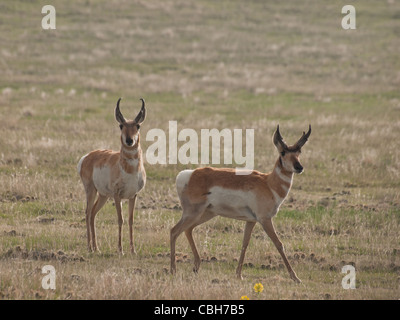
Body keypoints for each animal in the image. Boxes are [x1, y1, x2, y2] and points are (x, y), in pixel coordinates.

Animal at [77, 99, 146, 254]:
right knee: (87, 212)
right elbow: (120, 219)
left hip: (103, 195)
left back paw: (96, 248)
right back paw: (89, 247)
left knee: (93, 213)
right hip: (91, 191)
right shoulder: (117, 195)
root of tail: (87, 156)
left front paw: (133, 250)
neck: (130, 170)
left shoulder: (133, 196)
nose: (129, 140)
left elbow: (131, 220)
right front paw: (120, 249)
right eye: (121, 126)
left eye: (137, 126)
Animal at [170, 124, 310, 282]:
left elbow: (245, 244)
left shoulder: (251, 221)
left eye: (299, 152)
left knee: (187, 230)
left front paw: (239, 274)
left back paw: (196, 266)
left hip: (206, 214)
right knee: (174, 231)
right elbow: (279, 244)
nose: (299, 167)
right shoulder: (265, 219)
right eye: (283, 152)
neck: (268, 183)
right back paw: (173, 270)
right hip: (193, 213)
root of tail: (188, 175)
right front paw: (296, 278)